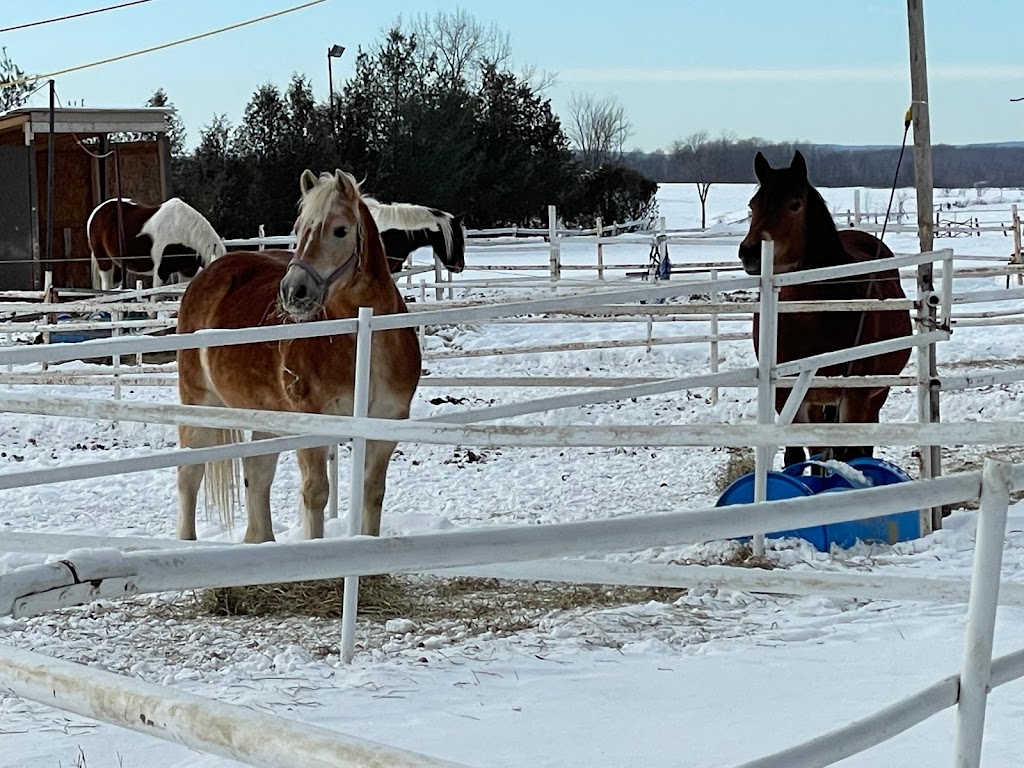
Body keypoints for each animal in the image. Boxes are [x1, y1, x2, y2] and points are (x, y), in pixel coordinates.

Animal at [86, 198, 226, 290]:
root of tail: (98, 210)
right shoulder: (161, 271)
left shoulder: (187, 272)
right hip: (104, 262)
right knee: (106, 287)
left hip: (120, 265)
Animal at [176, 171, 419, 544]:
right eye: (300, 228)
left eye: (340, 230)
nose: (294, 292)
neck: (366, 339)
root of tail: (207, 274)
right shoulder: (312, 424)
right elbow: (316, 494)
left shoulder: (385, 426)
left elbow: (372, 492)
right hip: (200, 404)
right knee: (190, 473)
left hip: (267, 414)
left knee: (257, 471)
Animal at [737, 148, 913, 462]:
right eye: (752, 204)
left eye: (795, 205)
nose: (750, 252)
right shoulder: (789, 396)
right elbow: (801, 456)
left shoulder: (854, 395)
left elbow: (848, 453)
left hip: (875, 394)